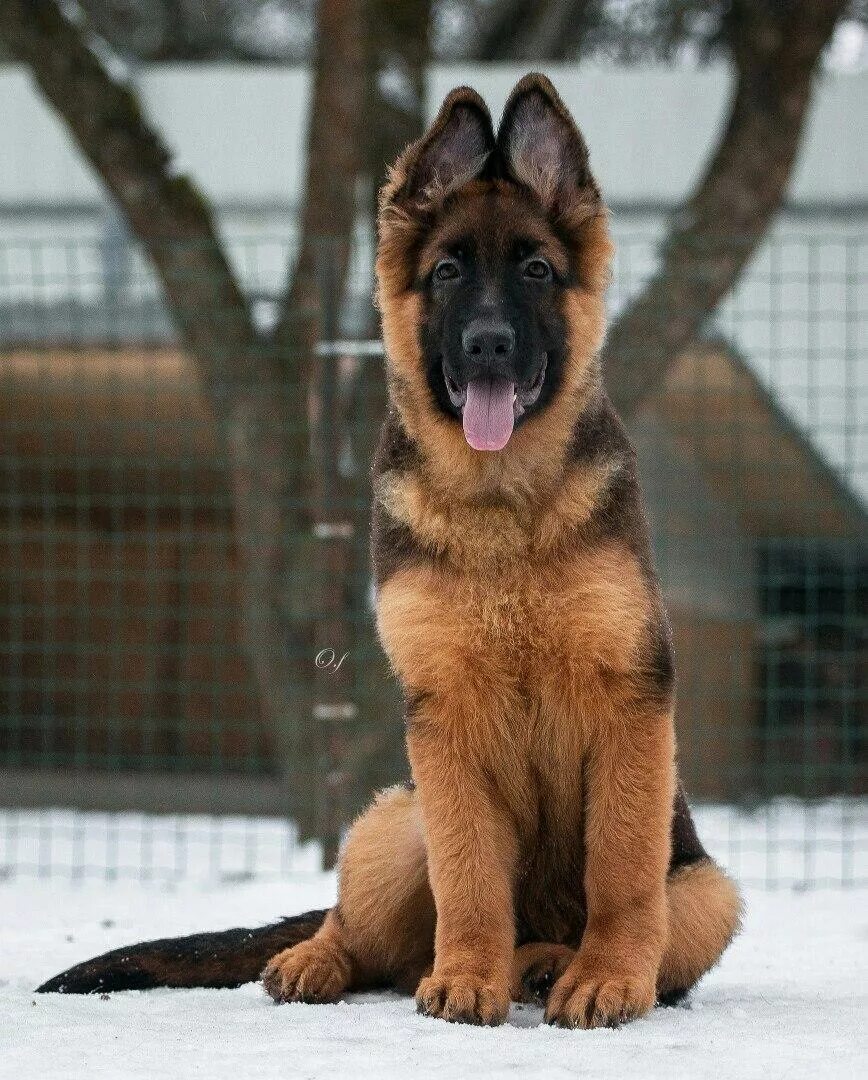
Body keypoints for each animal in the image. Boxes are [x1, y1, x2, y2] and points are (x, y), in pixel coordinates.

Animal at [38, 78, 738, 1028]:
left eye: (536, 270)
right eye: (446, 272)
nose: (487, 343)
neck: (499, 506)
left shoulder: (630, 702)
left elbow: (622, 869)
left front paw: (606, 978)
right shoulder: (443, 721)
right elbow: (469, 875)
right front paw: (470, 975)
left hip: (711, 893)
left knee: (607, 916)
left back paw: (548, 963)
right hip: (396, 817)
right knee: (370, 939)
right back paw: (329, 960)